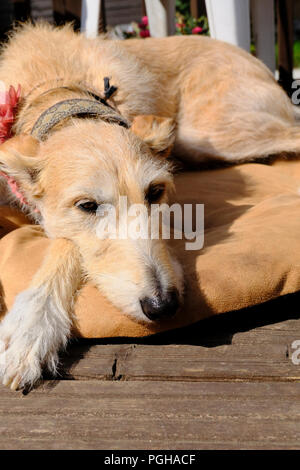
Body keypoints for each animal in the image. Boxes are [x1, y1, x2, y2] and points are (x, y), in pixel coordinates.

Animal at [0, 21, 298, 390]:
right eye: (87, 205)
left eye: (155, 192)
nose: (163, 305)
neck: (53, 87)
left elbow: (65, 246)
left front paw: (31, 326)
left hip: (214, 133)